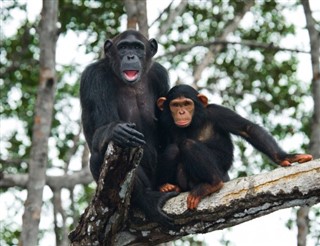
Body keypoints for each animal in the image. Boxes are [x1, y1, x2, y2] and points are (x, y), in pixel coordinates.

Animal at [80, 30, 175, 225]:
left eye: (137, 47)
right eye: (123, 47)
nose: (130, 56)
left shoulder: (160, 75)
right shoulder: (94, 78)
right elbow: (101, 127)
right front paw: (116, 131)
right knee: (98, 156)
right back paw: (149, 200)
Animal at [157, 84, 312, 209]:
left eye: (187, 104)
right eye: (175, 105)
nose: (181, 112)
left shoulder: (217, 112)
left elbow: (247, 128)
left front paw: (285, 157)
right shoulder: (164, 124)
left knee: (188, 145)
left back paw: (213, 184)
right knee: (172, 149)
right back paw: (168, 186)